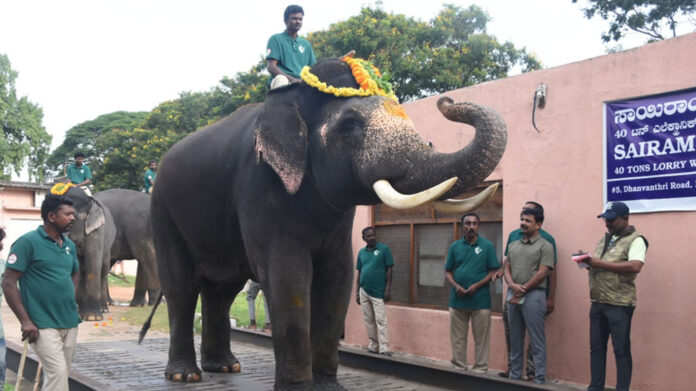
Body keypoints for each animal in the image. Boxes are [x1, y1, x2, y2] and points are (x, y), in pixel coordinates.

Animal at [62, 185, 115, 320]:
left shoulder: (96, 231)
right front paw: (77, 313)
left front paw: (92, 317)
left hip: (108, 246)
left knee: (103, 270)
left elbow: (92, 262)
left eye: (71, 216)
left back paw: (103, 309)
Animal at [151, 56, 506, 390]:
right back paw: (185, 375)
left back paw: (225, 368)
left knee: (221, 290)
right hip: (164, 212)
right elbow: (288, 276)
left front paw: (329, 386)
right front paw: (298, 388)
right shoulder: (259, 186)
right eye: (349, 124)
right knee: (181, 287)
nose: (446, 101)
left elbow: (338, 276)